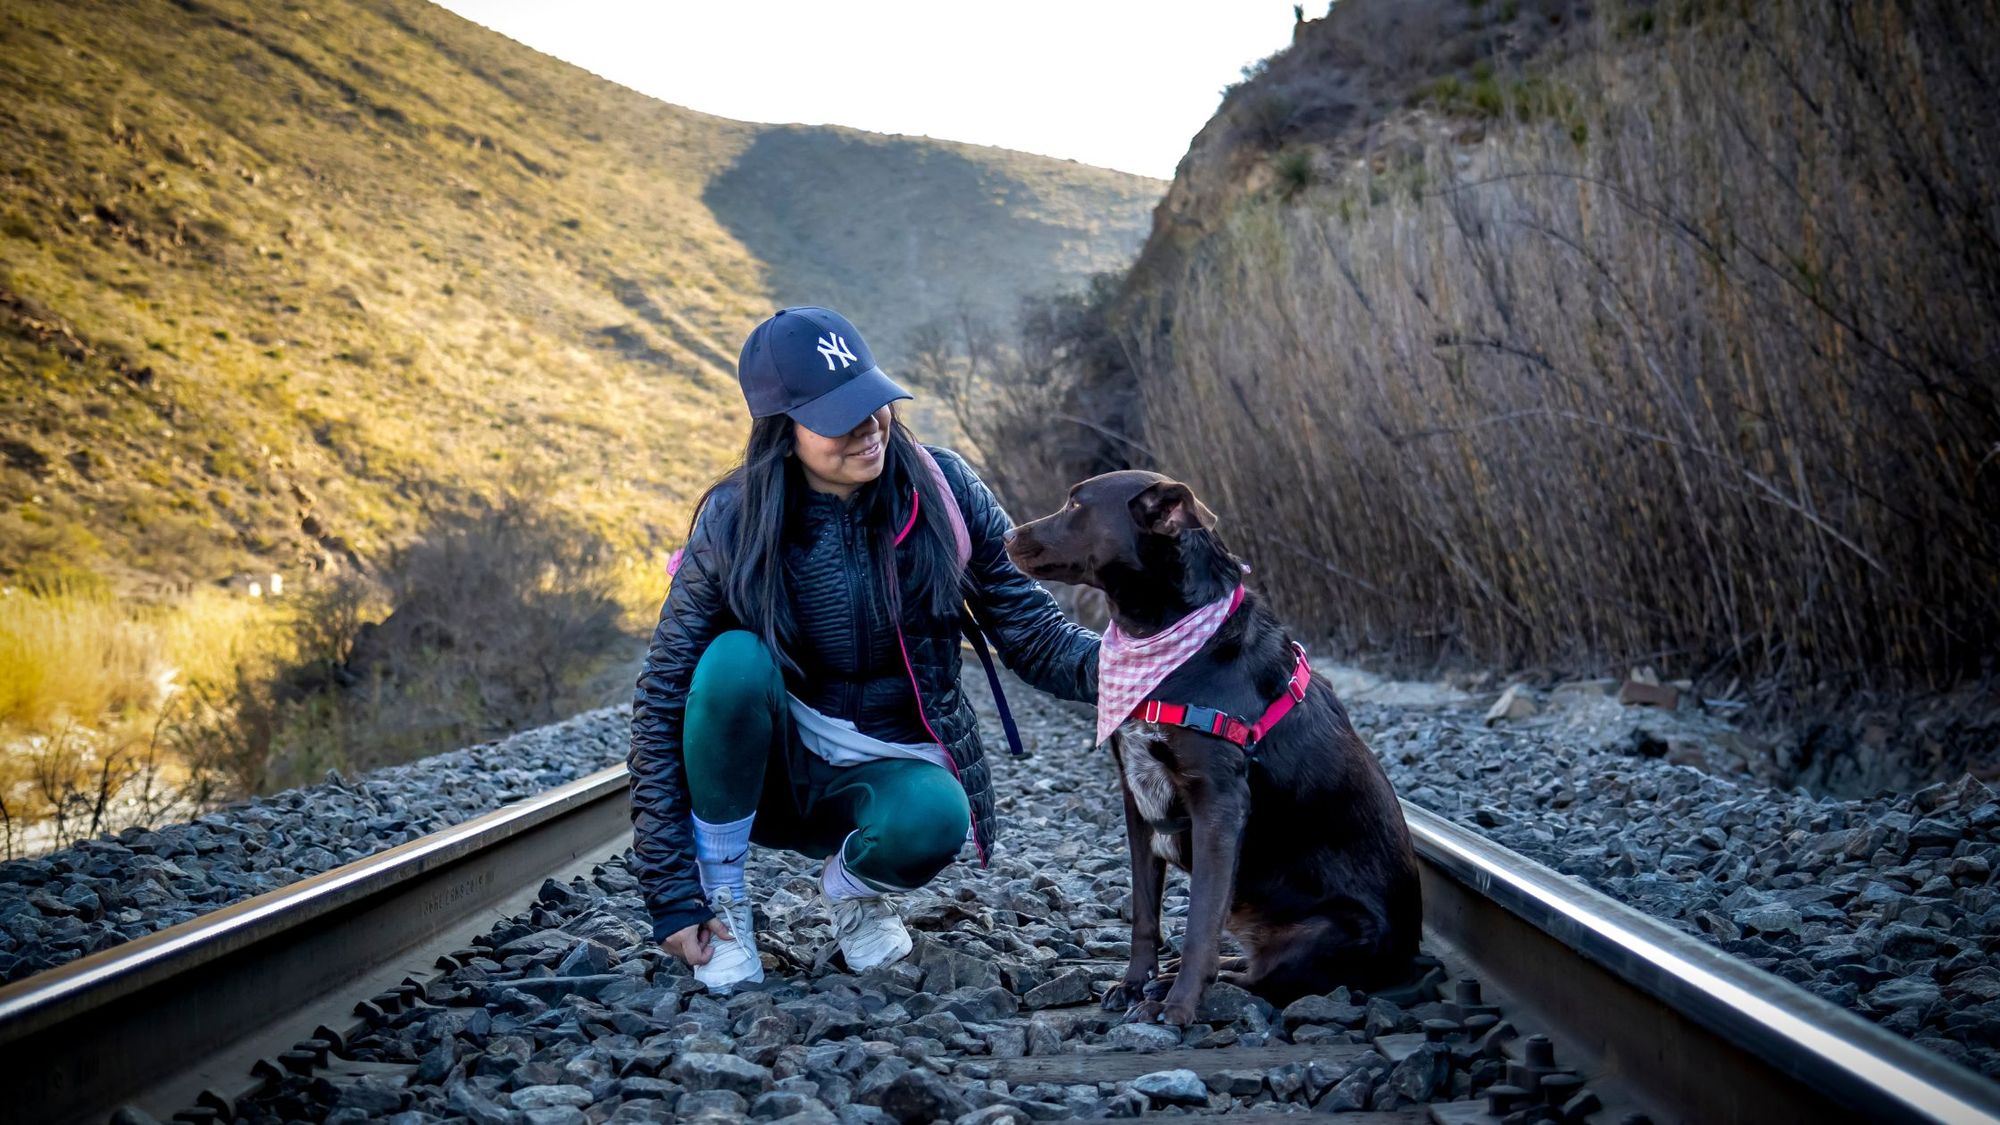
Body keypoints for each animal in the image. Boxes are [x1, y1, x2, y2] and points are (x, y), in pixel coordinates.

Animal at [1000, 468, 1424, 1020]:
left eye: (1076, 505)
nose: (1006, 536)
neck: (1158, 634)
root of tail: (1411, 959)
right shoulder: (1136, 797)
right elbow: (1144, 913)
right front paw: (1135, 984)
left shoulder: (1219, 804)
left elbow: (1201, 920)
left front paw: (1176, 1009)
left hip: (1328, 931)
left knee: (1262, 981)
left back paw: (1186, 985)